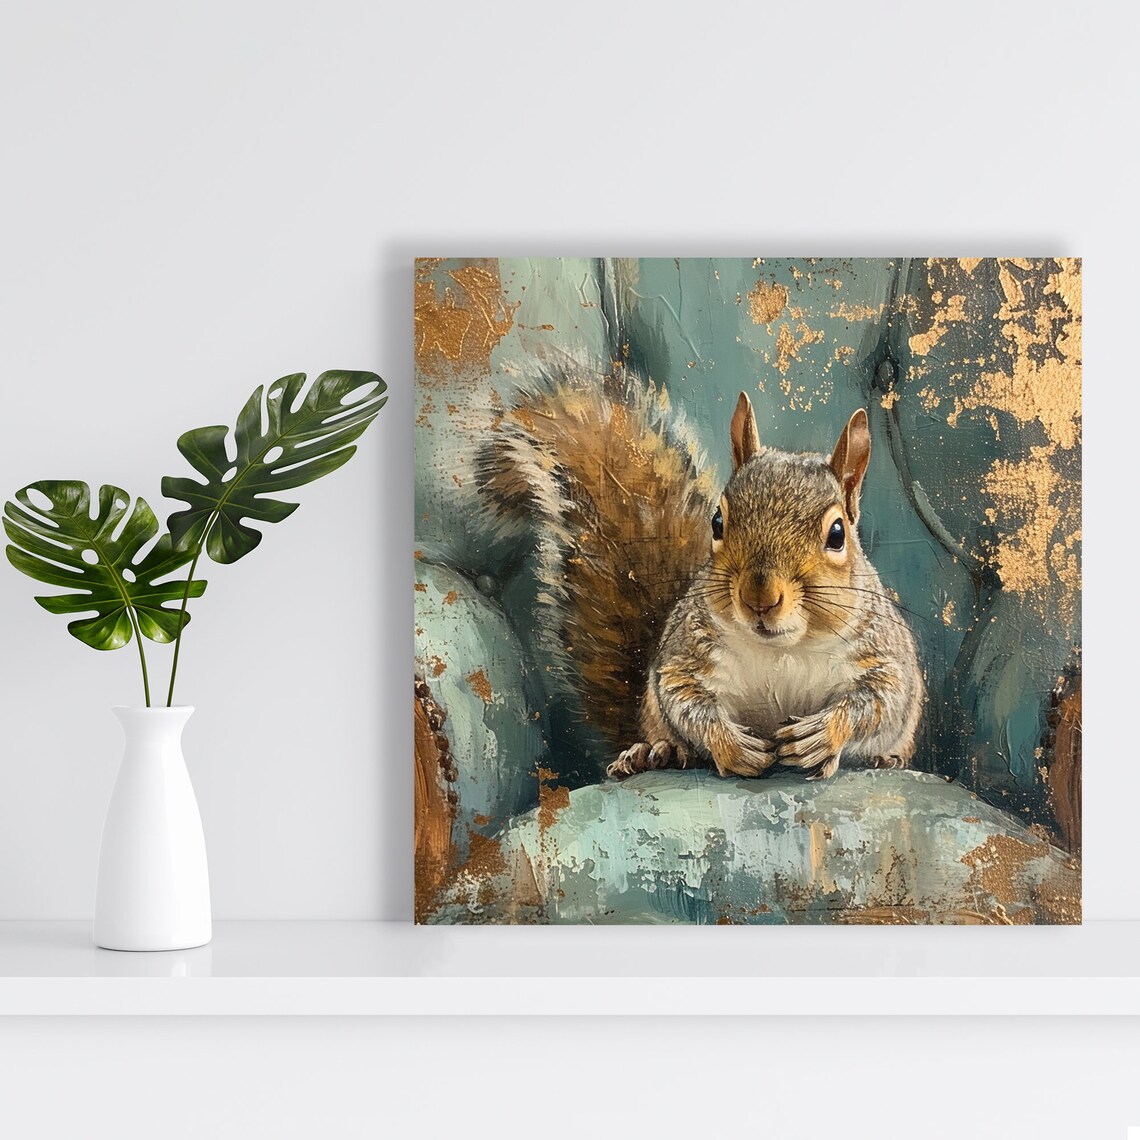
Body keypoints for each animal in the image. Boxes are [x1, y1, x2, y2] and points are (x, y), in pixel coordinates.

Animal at [478, 367, 924, 782]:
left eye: (837, 534)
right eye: (718, 522)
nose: (759, 598)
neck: (782, 650)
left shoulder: (880, 655)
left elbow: (880, 700)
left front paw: (822, 736)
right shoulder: (686, 655)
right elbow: (684, 701)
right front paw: (731, 746)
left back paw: (887, 758)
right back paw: (653, 753)